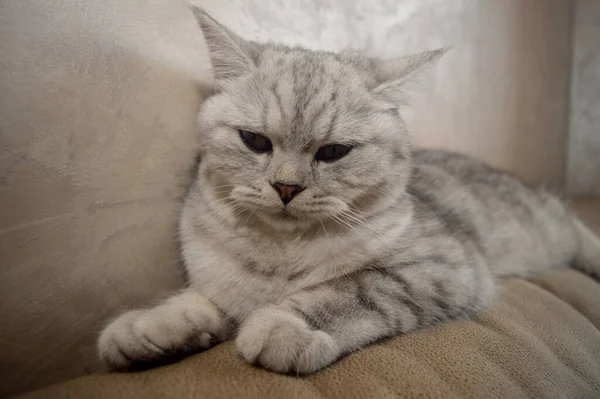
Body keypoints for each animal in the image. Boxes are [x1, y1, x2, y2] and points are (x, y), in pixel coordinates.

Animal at [96, 6, 600, 376]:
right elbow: (196, 302)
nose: (286, 186)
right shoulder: (220, 287)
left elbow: (350, 290)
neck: (279, 256)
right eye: (255, 141)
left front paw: (283, 326)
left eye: (334, 151)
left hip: (548, 226)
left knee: (577, 227)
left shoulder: (440, 268)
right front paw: (147, 327)